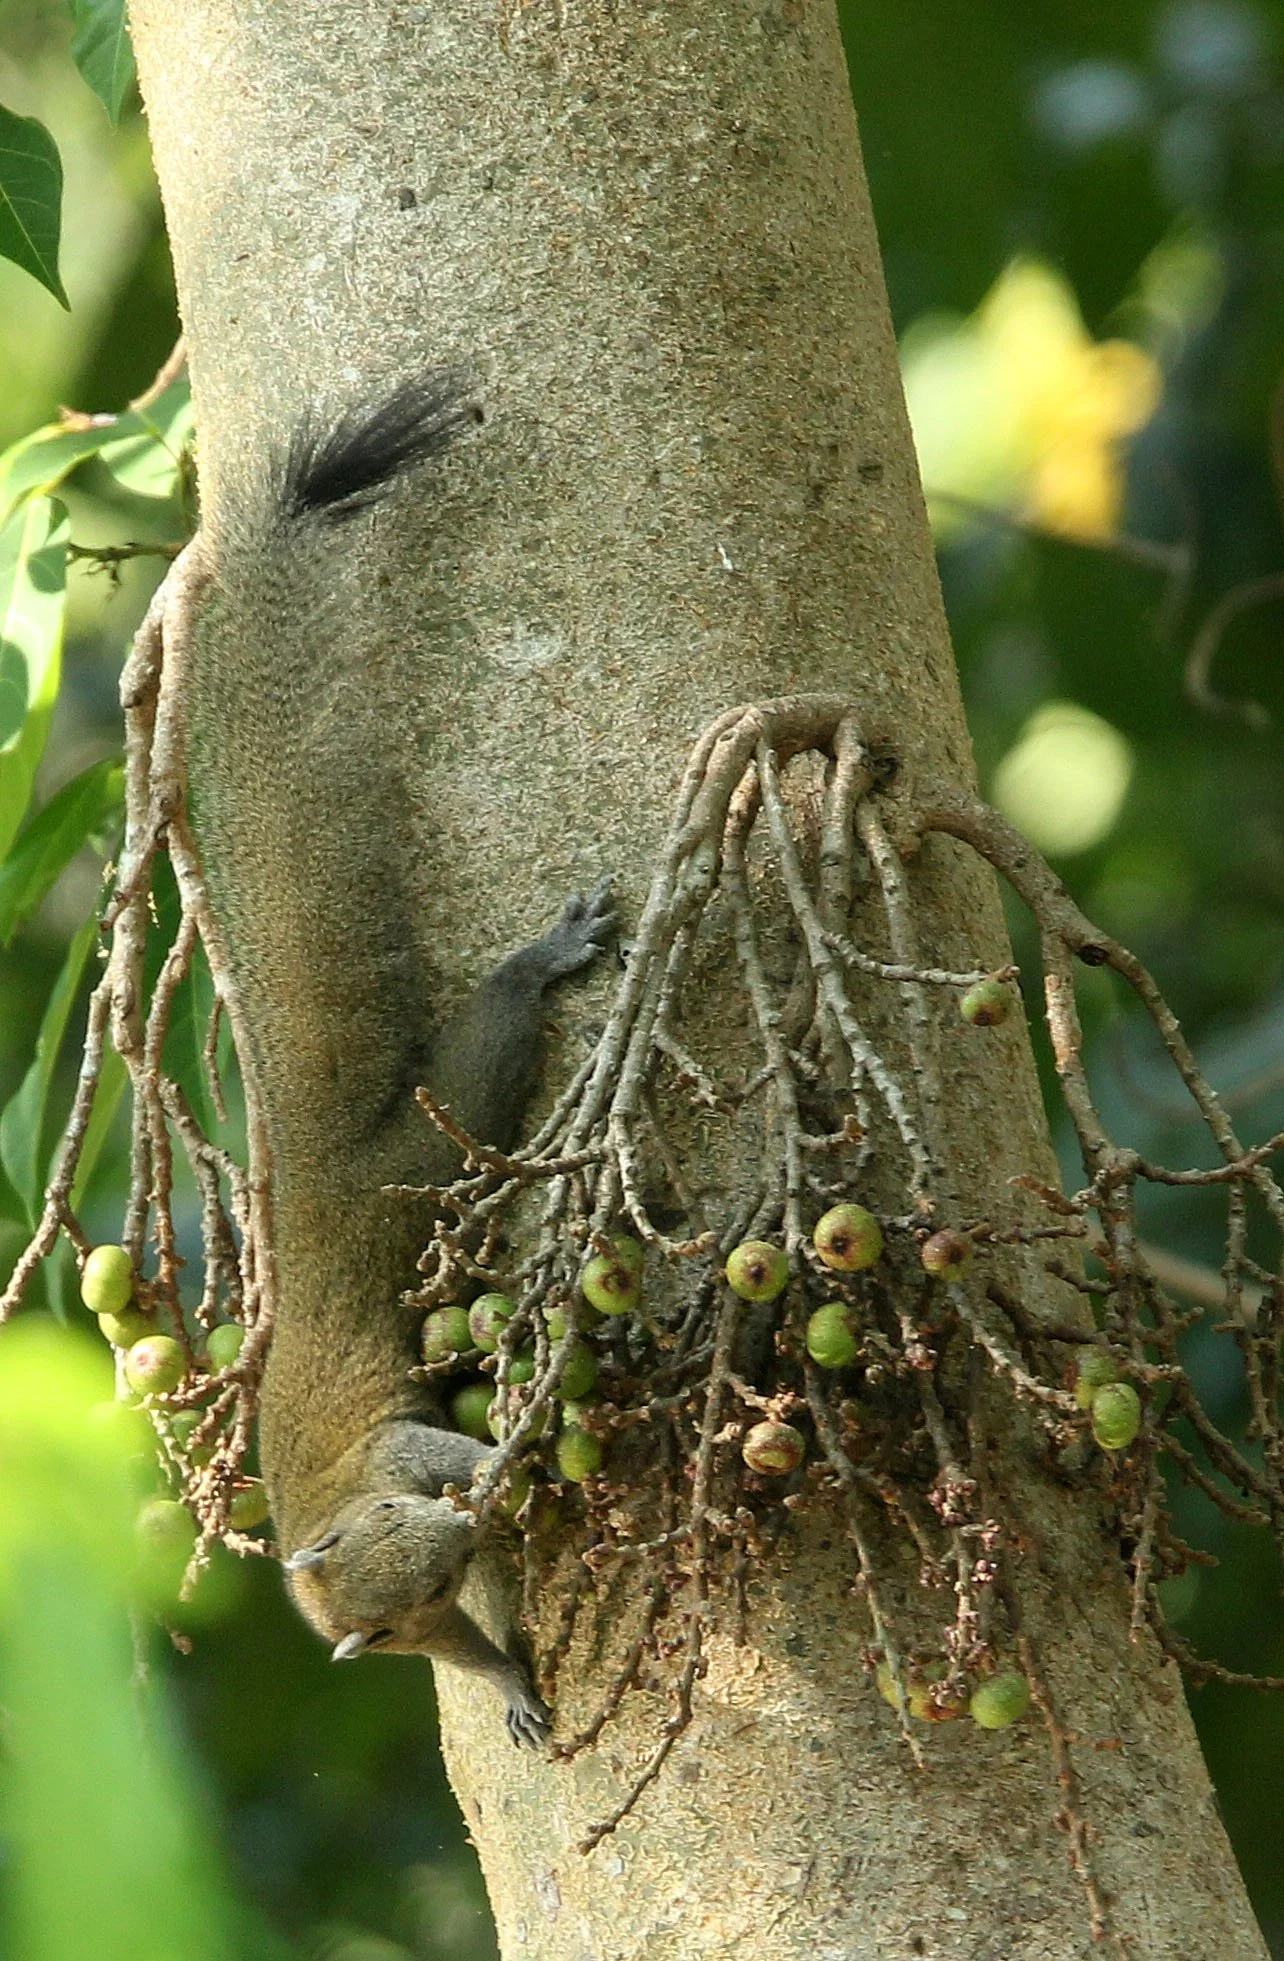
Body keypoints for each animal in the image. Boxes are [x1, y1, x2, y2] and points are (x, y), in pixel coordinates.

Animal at [188, 374, 612, 1745]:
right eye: (412, 1577)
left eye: (406, 1526)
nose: (471, 1526)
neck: (337, 1511)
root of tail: (316, 1162)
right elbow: (465, 1655)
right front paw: (510, 1684)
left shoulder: (400, 1453)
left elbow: (463, 1456)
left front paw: (508, 1464)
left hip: (429, 1150)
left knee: (487, 1047)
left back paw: (540, 961)